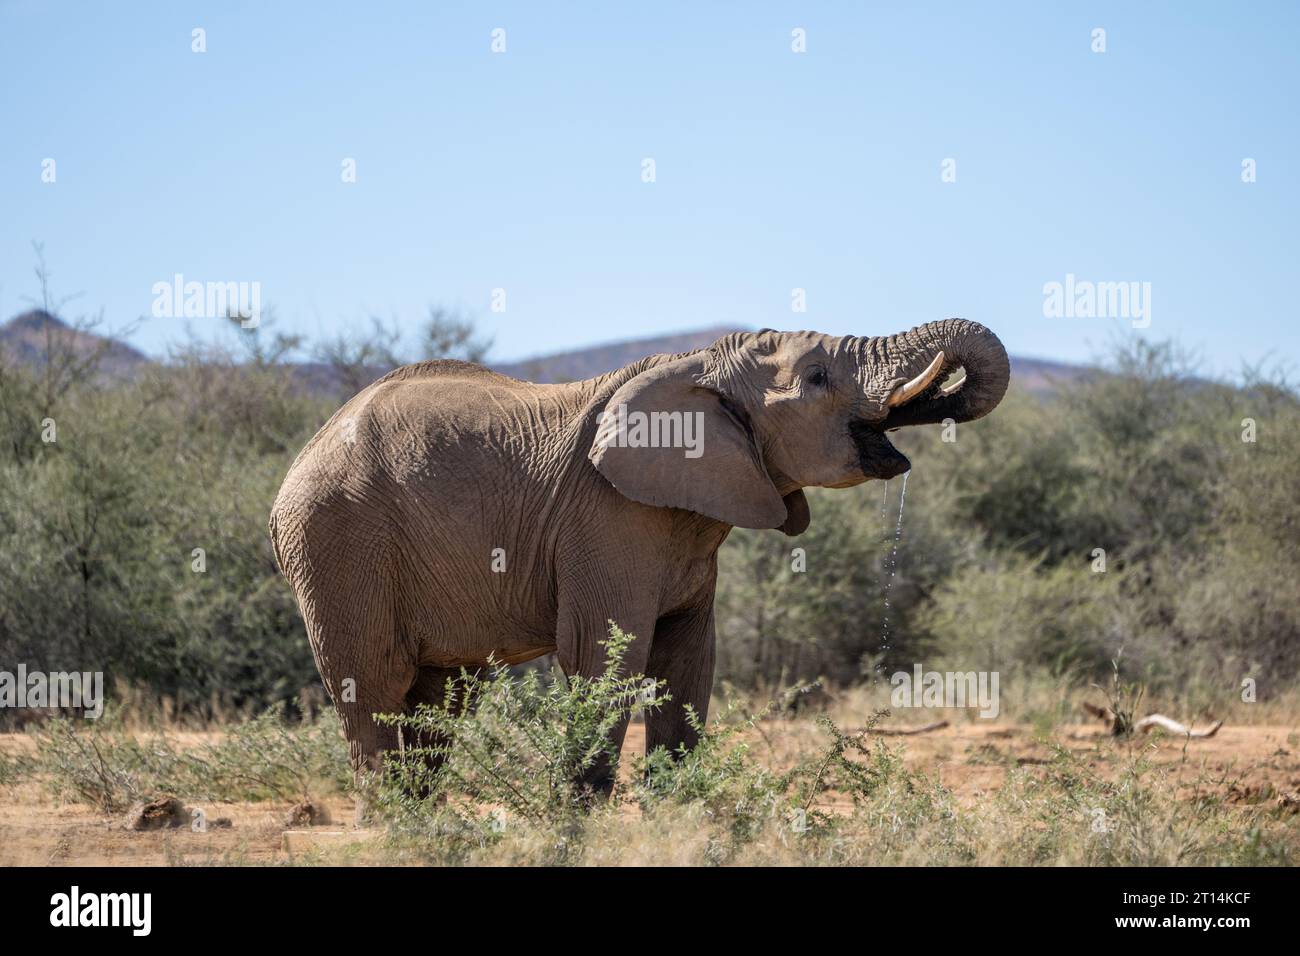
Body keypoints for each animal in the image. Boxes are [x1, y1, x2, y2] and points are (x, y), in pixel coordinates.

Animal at [269, 318, 1009, 793]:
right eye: (818, 376)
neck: (699, 364)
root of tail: (299, 460)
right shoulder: (606, 517)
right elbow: (605, 655)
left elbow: (689, 661)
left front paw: (671, 806)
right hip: (339, 540)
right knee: (374, 684)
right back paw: (392, 821)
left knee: (437, 698)